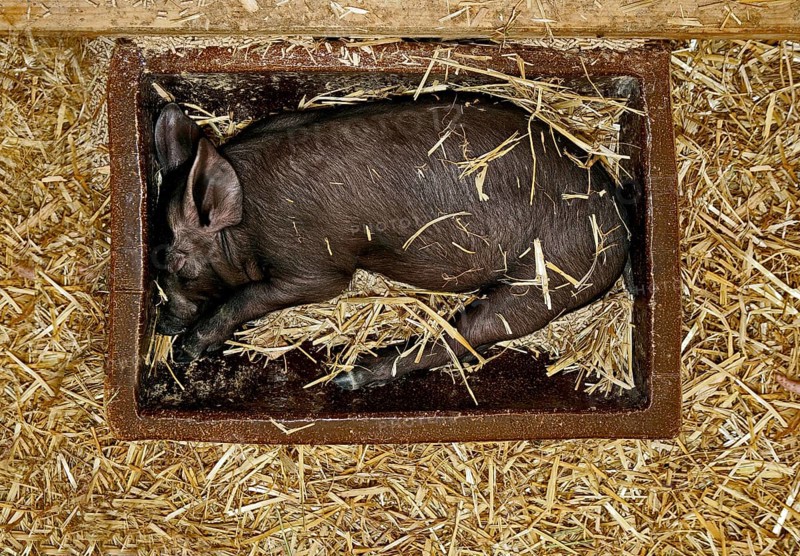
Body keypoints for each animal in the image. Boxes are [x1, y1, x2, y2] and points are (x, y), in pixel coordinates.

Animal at [152, 93, 632, 390]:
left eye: (179, 265)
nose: (163, 326)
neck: (245, 224)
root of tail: (622, 230)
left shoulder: (313, 263)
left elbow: (258, 295)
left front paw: (187, 350)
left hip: (550, 275)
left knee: (471, 331)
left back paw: (346, 378)